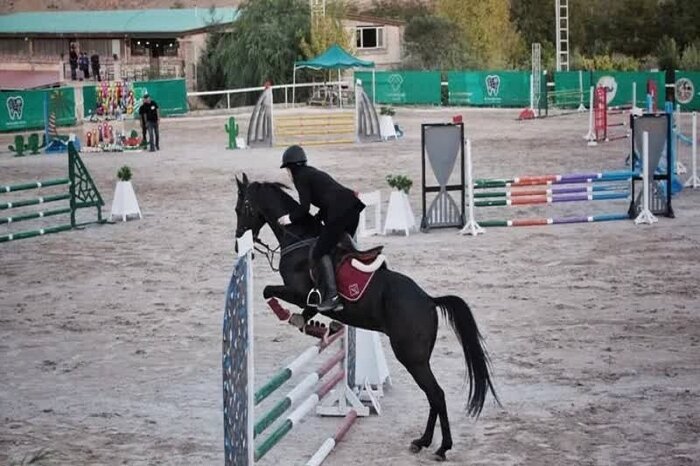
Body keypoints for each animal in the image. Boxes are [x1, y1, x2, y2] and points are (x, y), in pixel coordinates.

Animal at [235, 175, 498, 462]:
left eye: (241, 208)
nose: (238, 242)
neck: (299, 238)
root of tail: (429, 300)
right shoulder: (308, 299)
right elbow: (307, 314)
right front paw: (315, 326)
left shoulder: (300, 293)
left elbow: (268, 292)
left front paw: (288, 315)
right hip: (419, 358)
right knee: (432, 396)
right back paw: (423, 441)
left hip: (411, 357)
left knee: (436, 394)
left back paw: (441, 447)